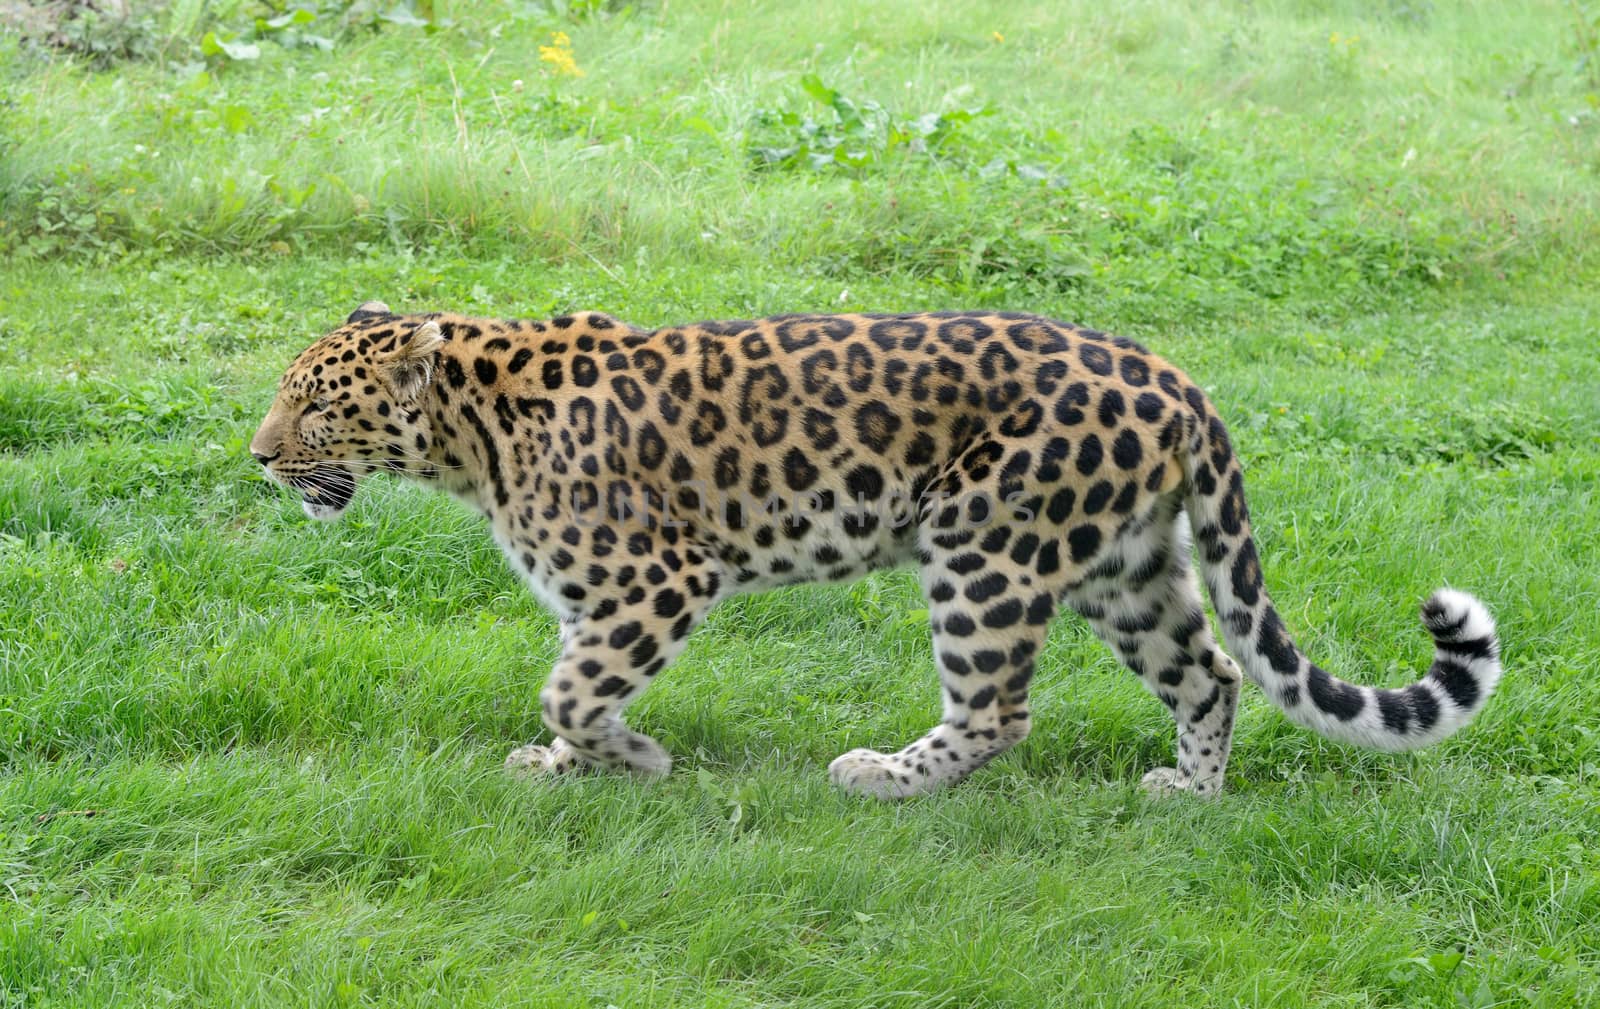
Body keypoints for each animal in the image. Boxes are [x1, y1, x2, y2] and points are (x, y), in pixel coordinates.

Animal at [246, 300, 1497, 796]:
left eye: (312, 404)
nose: (258, 456)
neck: (471, 434)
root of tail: (1174, 377)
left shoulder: (658, 579)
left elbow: (570, 687)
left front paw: (631, 760)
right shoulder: (602, 601)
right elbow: (572, 685)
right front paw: (566, 768)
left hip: (984, 547)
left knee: (998, 709)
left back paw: (883, 779)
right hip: (1124, 565)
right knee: (1215, 671)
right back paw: (1188, 794)